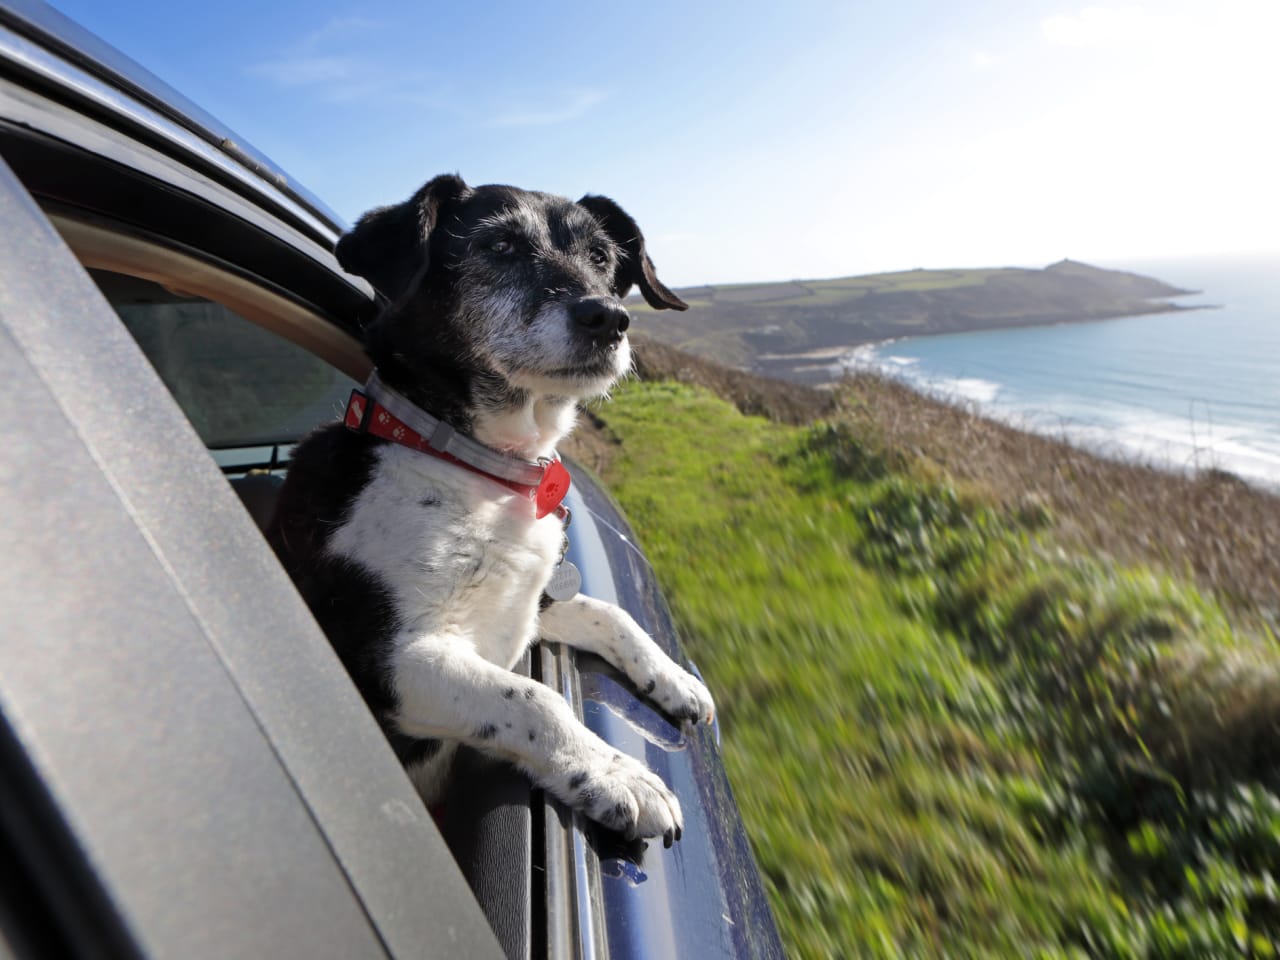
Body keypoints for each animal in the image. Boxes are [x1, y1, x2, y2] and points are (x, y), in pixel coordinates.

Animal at [266, 172, 716, 839]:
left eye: (602, 257)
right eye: (499, 246)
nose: (608, 318)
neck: (475, 469)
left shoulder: (526, 606)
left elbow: (608, 614)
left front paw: (676, 679)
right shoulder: (385, 661)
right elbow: (536, 700)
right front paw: (618, 776)